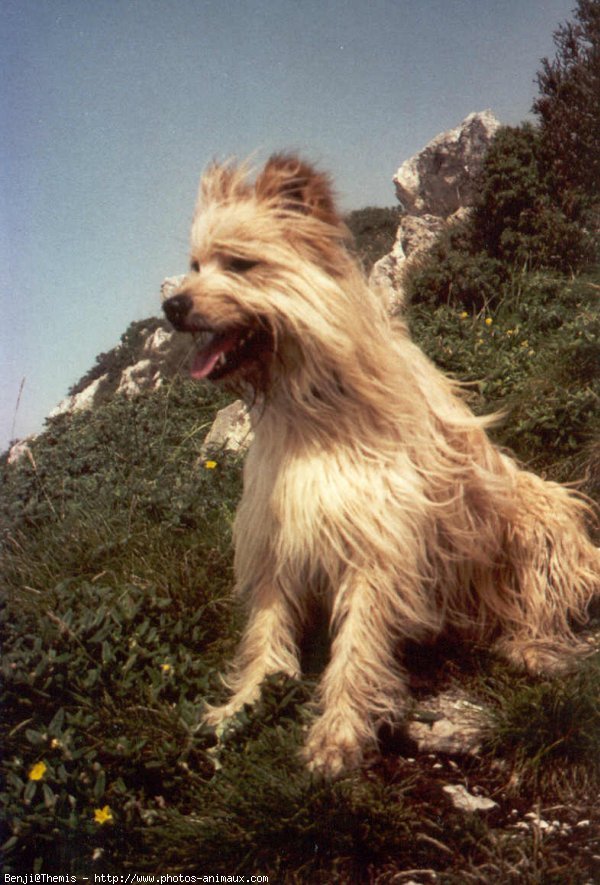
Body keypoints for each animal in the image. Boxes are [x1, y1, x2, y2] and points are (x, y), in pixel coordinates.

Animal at [162, 155, 596, 776]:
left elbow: (358, 642)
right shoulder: (278, 533)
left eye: (241, 264)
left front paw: (339, 732)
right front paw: (244, 703)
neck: (310, 408)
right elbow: (267, 630)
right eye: (195, 265)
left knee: (541, 601)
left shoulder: (375, 535)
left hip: (541, 517)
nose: (171, 307)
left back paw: (532, 647)